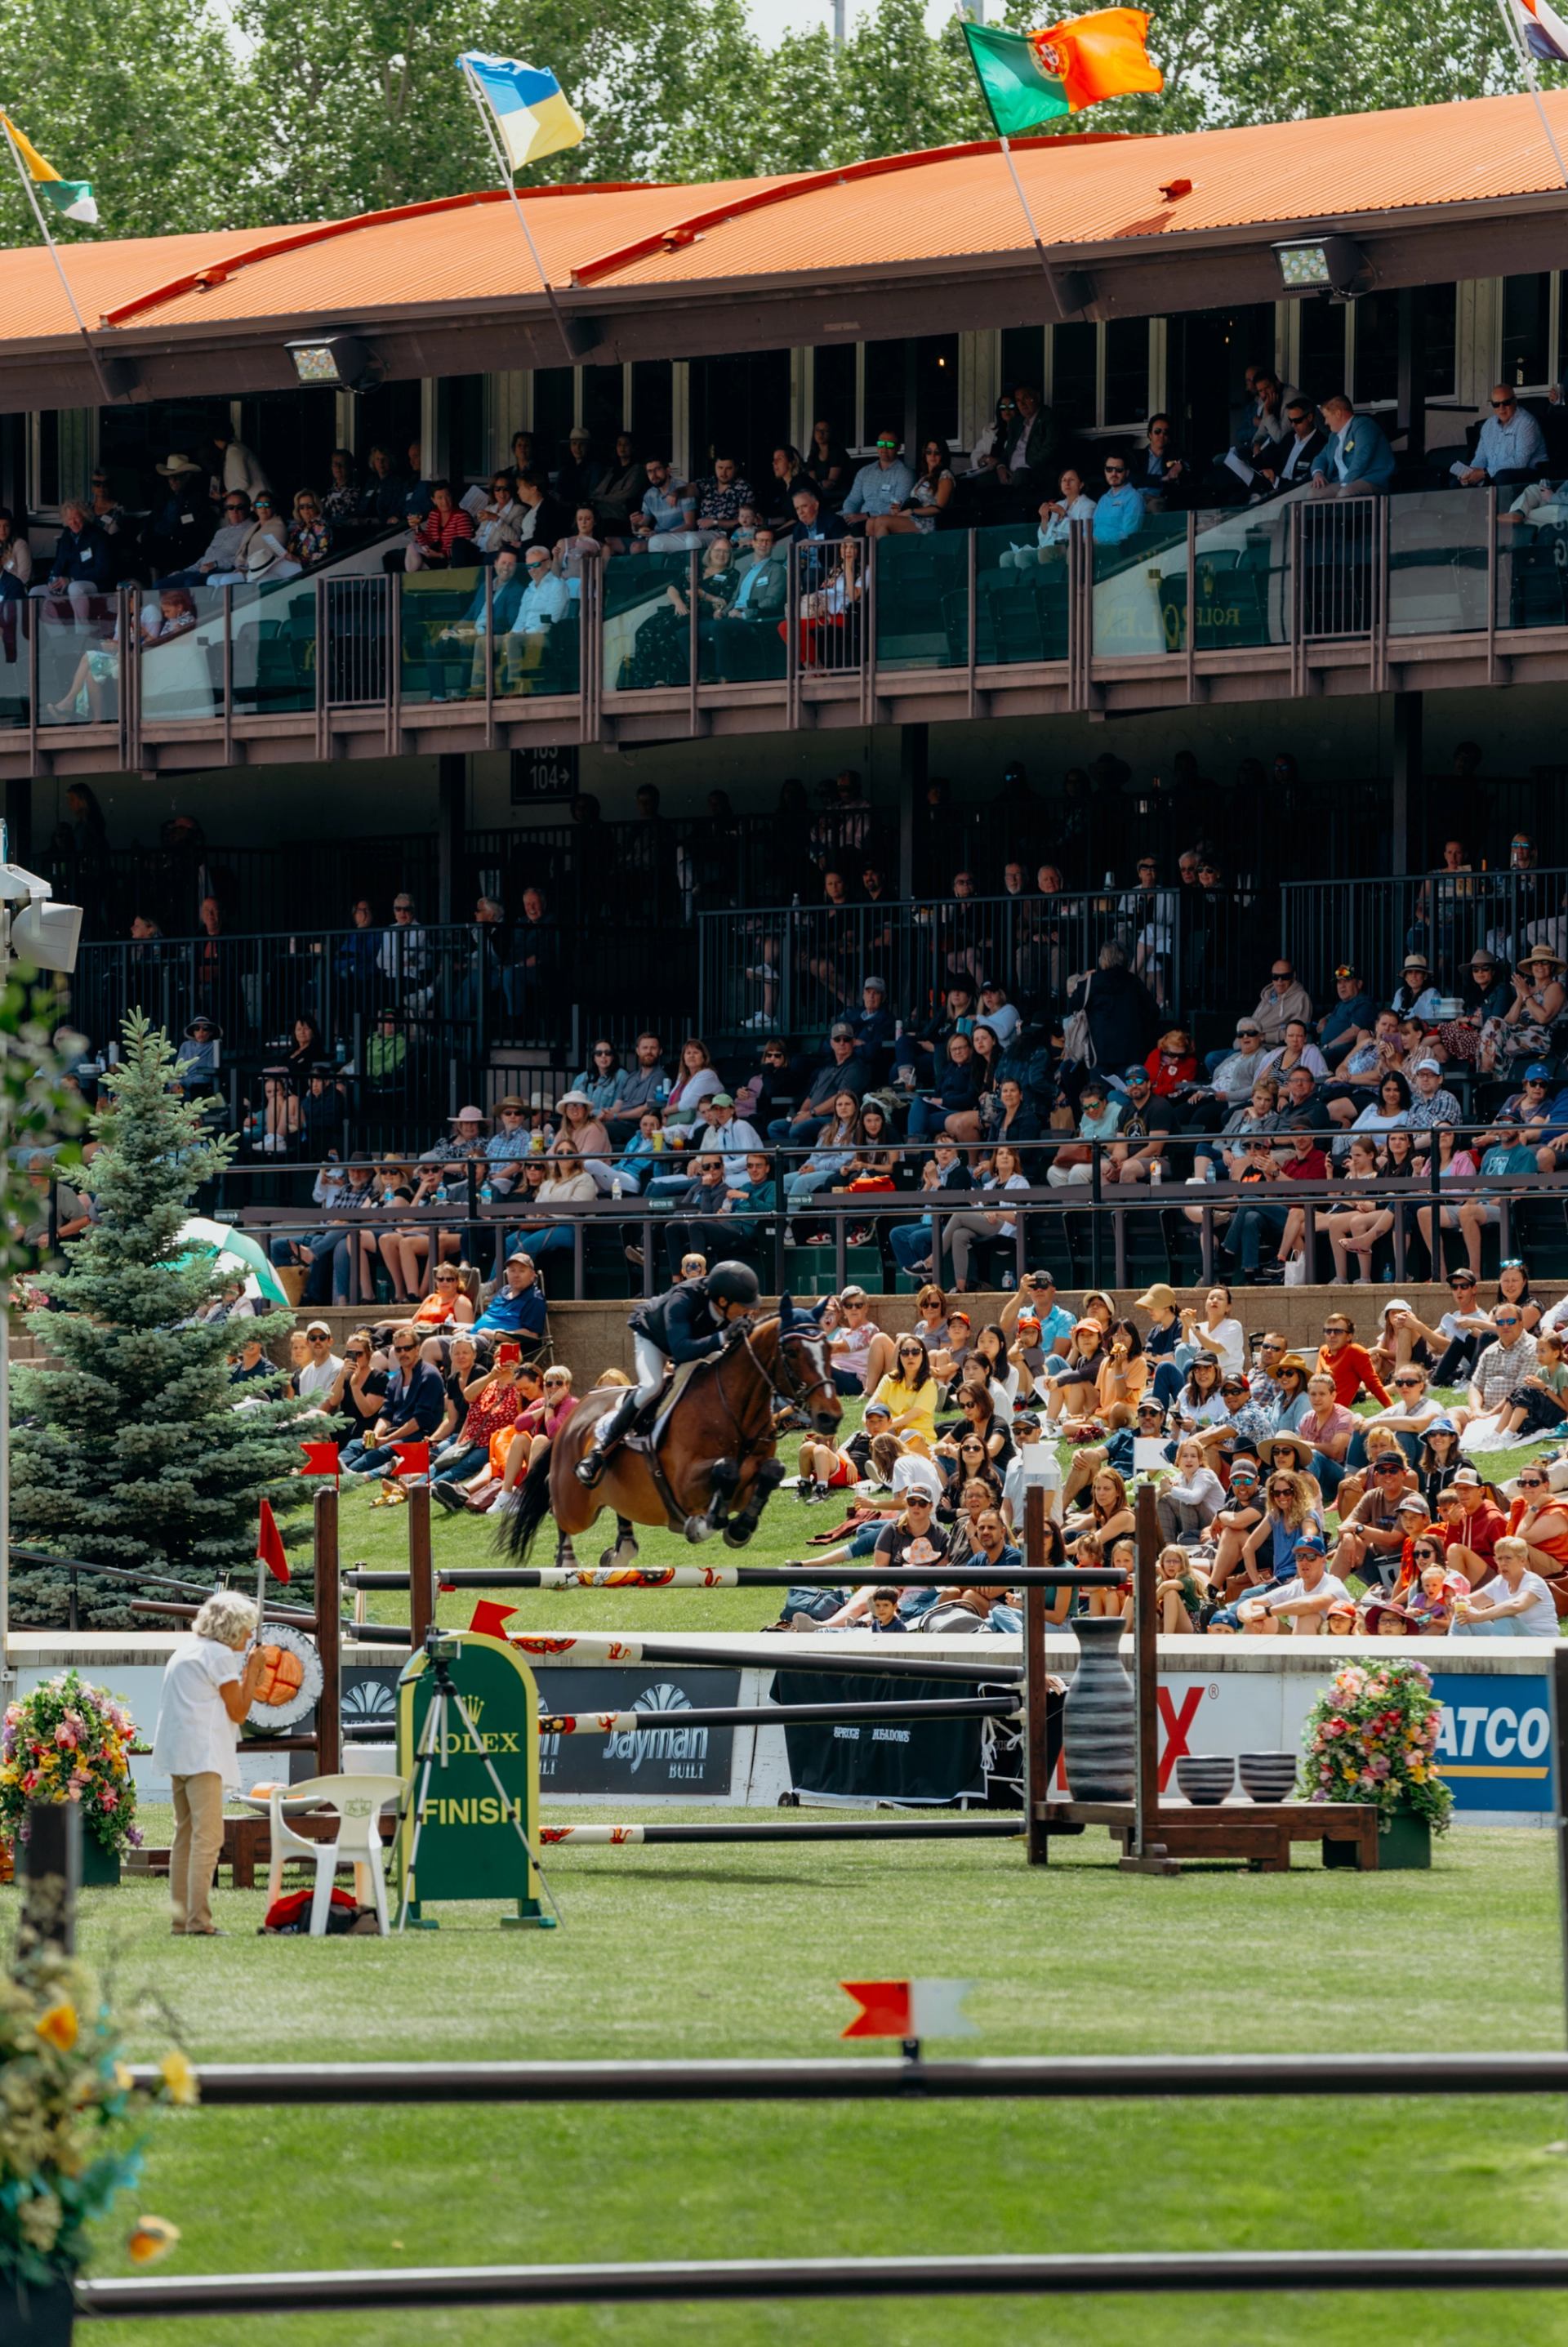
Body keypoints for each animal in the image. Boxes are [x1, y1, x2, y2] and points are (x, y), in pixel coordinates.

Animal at [502, 1311, 841, 1569]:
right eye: (793, 1352)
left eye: (829, 1350)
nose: (830, 1417)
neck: (733, 1410)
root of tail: (573, 1416)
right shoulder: (685, 1485)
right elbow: (726, 1470)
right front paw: (701, 1526)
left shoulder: (750, 1480)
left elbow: (771, 1472)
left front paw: (738, 1530)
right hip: (577, 1506)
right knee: (556, 1504)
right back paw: (569, 1559)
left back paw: (620, 1551)